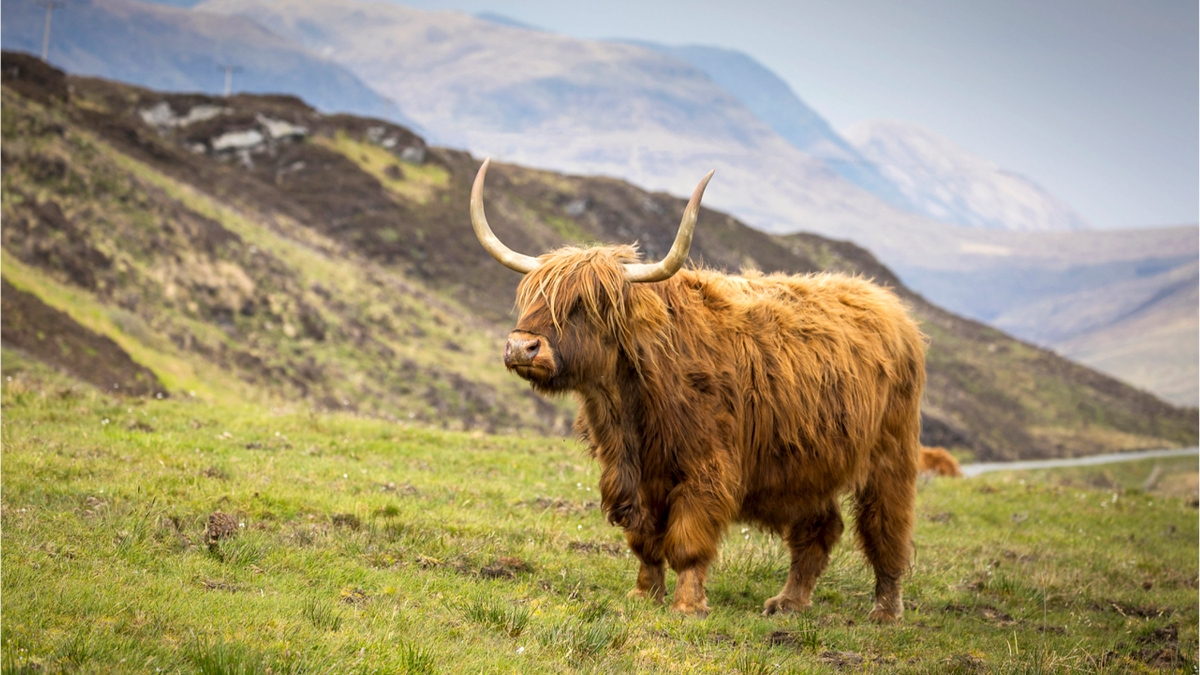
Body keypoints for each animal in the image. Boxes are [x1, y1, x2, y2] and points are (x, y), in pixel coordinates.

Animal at [468, 157, 926, 619]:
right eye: (532, 296)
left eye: (587, 304)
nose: (521, 346)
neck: (626, 406)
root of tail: (891, 307)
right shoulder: (635, 476)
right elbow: (644, 541)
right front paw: (644, 594)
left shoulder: (706, 467)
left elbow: (688, 539)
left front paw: (688, 606)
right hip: (811, 464)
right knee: (819, 527)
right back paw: (789, 601)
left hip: (891, 455)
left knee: (887, 529)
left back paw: (885, 611)